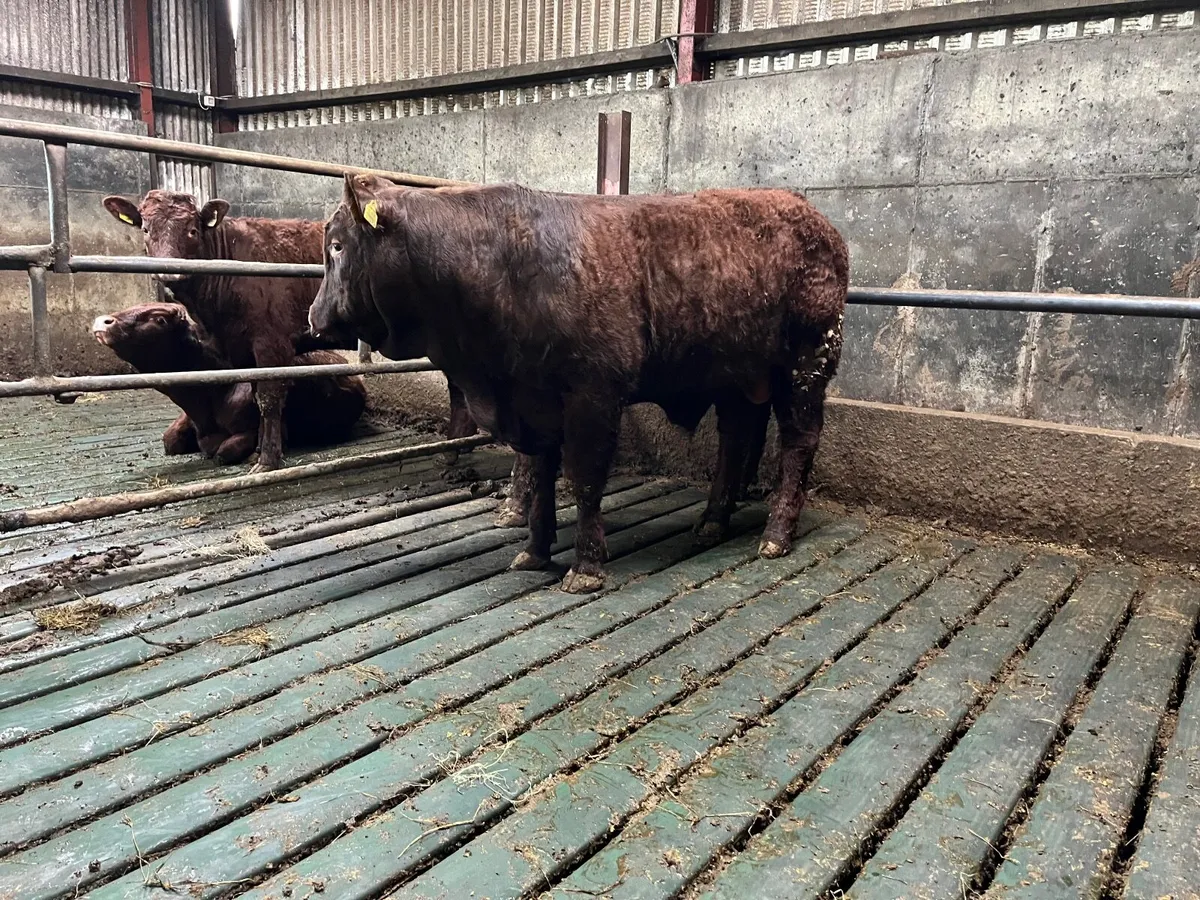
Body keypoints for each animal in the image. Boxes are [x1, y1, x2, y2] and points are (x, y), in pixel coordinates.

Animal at [309, 175, 848, 594]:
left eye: (337, 246)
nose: (314, 317)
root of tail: (809, 214)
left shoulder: (593, 395)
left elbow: (583, 476)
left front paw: (586, 566)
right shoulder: (533, 402)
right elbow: (539, 476)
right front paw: (534, 551)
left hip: (808, 365)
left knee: (799, 445)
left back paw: (776, 535)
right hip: (737, 378)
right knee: (734, 442)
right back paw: (712, 522)